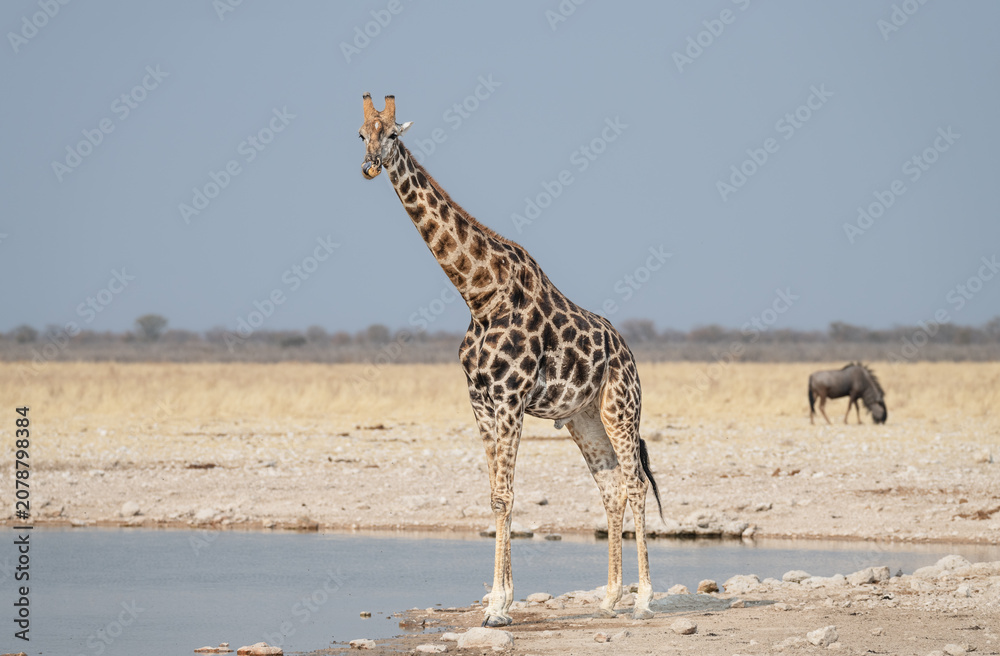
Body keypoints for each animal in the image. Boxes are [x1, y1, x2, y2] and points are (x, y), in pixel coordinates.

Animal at [358, 93, 663, 626]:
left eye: (393, 134)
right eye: (361, 134)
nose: (370, 165)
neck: (479, 295)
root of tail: (628, 352)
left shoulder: (509, 400)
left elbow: (505, 495)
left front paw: (498, 608)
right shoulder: (481, 403)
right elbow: (495, 496)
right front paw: (497, 600)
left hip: (620, 408)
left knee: (636, 483)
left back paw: (644, 599)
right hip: (583, 418)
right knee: (612, 487)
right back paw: (609, 597)